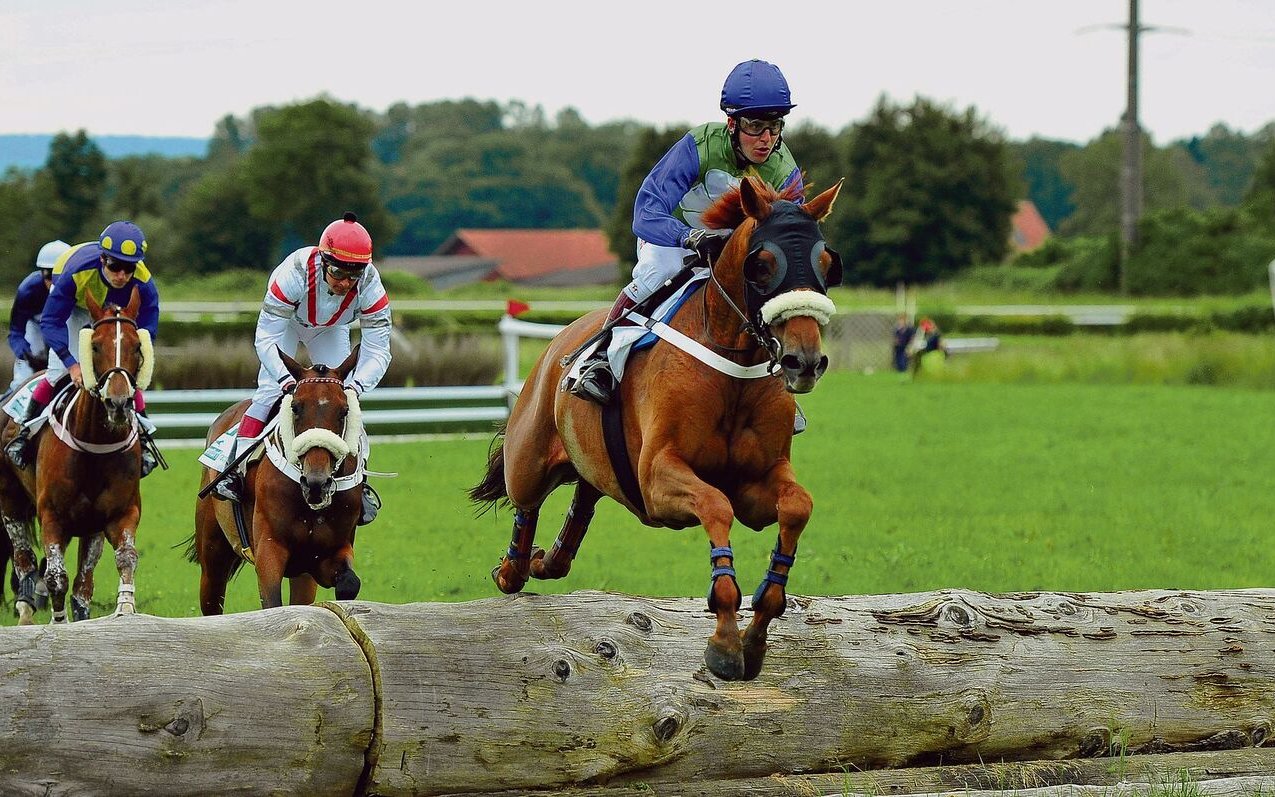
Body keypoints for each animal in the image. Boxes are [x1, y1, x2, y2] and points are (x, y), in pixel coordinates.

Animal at [0, 289, 151, 624]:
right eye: (94, 345)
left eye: (137, 346)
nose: (119, 403)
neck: (94, 446)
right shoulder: (51, 515)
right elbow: (56, 576)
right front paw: (59, 622)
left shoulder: (119, 514)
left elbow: (124, 560)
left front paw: (125, 609)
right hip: (11, 501)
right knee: (24, 557)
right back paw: (25, 609)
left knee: (81, 580)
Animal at [187, 344, 364, 612]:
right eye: (296, 407)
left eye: (344, 411)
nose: (316, 483)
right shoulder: (269, 550)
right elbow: (273, 603)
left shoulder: (328, 553)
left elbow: (349, 584)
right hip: (212, 555)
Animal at [474, 175, 841, 678]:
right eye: (762, 264)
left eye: (826, 262)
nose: (804, 361)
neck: (732, 368)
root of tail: (557, 343)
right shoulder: (657, 478)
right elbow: (715, 506)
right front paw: (725, 642)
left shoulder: (756, 484)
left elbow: (796, 506)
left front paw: (755, 635)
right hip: (527, 459)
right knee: (525, 506)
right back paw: (513, 568)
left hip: (596, 465)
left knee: (583, 501)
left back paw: (548, 559)